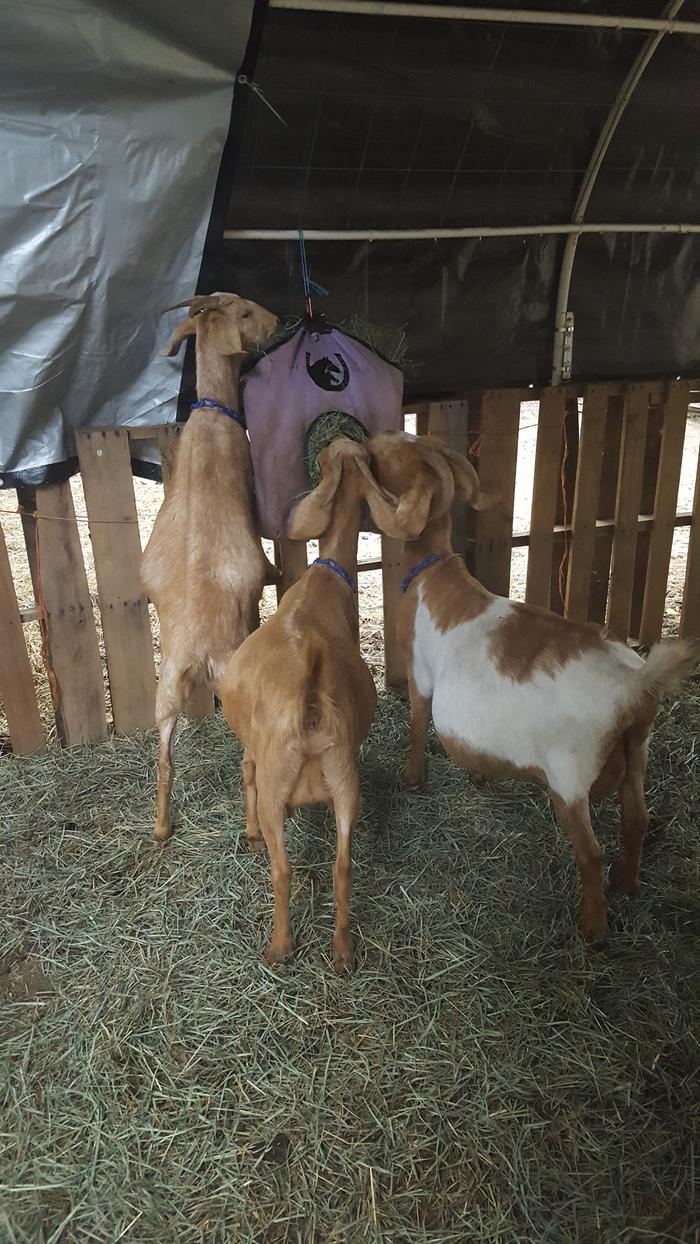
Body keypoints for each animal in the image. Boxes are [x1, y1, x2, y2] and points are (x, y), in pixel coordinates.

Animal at [217, 437, 405, 970]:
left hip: (279, 786)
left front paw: (248, 835)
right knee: (343, 868)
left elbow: (245, 776)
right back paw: (342, 953)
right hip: (346, 784)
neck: (327, 579)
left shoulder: (253, 756)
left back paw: (279, 948)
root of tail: (310, 702)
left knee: (281, 871)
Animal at [370, 432, 696, 945]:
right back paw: (626, 885)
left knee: (590, 853)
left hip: (570, 775)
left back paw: (593, 932)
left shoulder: (420, 673)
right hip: (637, 750)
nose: (368, 442)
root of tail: (636, 685)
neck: (432, 572)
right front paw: (478, 777)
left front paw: (413, 778)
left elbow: (419, 723)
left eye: (397, 453)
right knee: (637, 820)